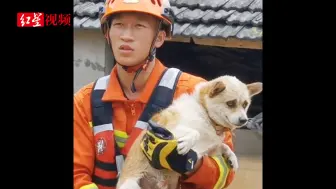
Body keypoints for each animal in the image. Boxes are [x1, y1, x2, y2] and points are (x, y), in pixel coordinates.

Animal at [117, 75, 262, 189]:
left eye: (245, 104)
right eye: (230, 103)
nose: (244, 120)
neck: (205, 114)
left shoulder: (209, 148)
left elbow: (224, 146)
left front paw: (232, 158)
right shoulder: (169, 130)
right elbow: (195, 132)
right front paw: (187, 142)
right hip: (131, 185)